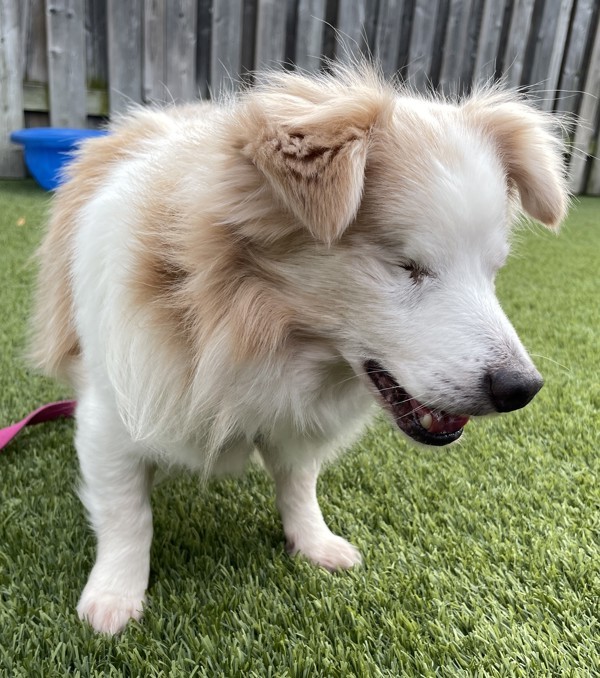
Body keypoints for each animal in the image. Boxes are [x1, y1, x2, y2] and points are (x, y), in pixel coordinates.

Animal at [29, 65, 568, 636]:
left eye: (493, 271)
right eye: (406, 266)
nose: (522, 389)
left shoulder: (298, 416)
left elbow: (298, 482)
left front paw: (312, 542)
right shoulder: (110, 417)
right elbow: (127, 514)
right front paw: (114, 596)